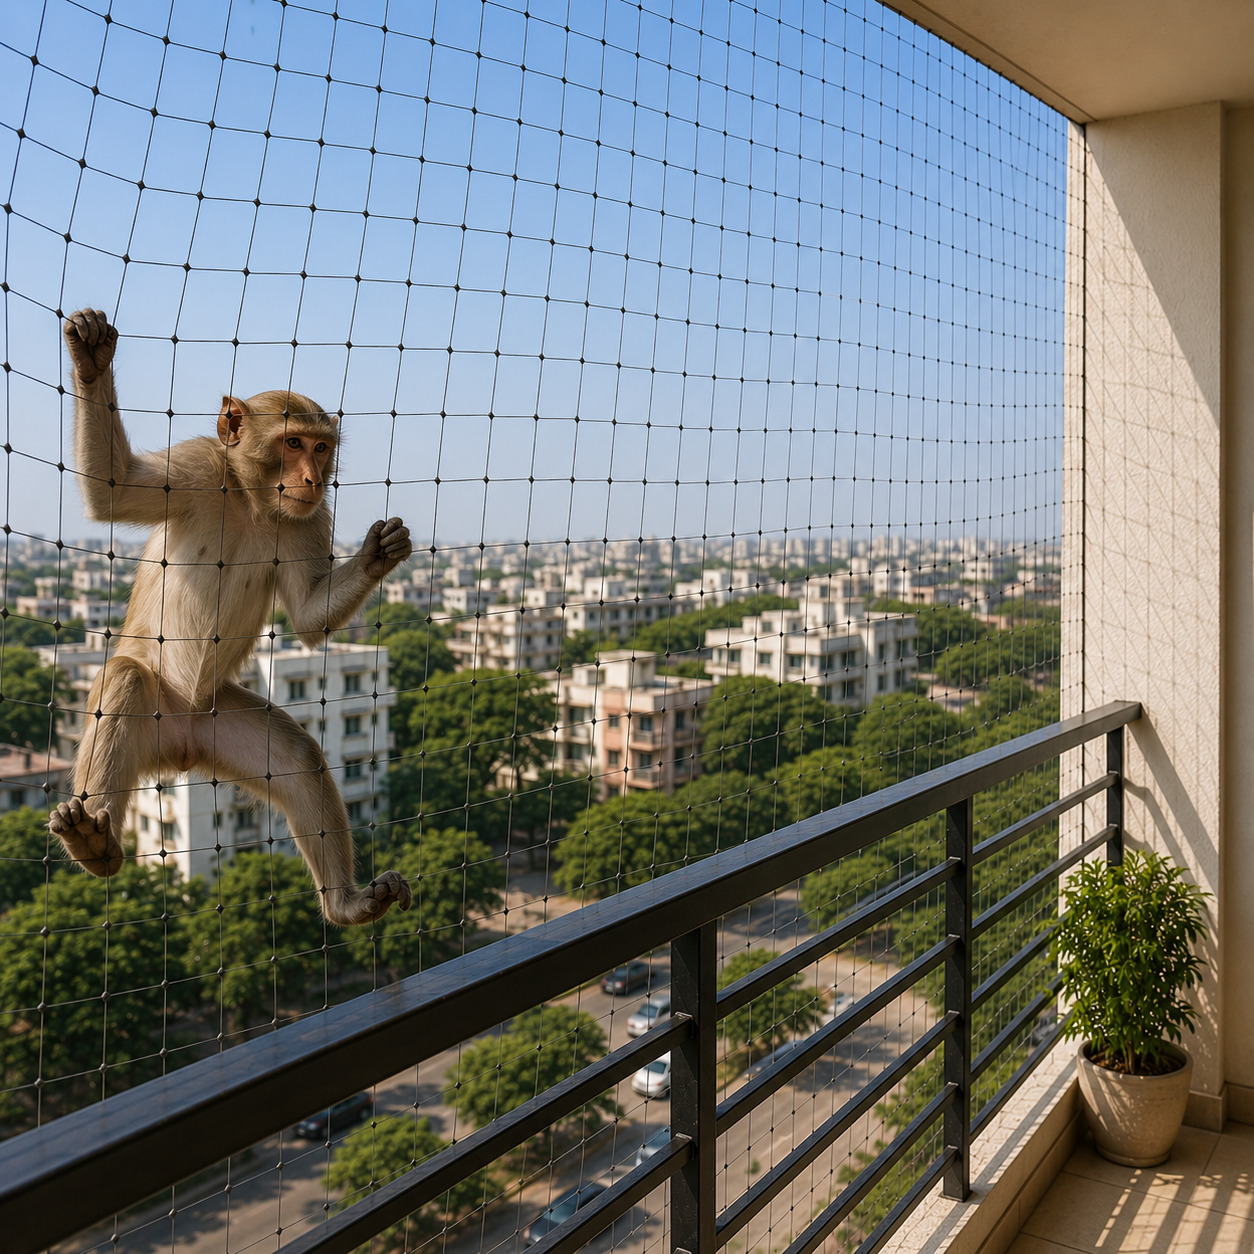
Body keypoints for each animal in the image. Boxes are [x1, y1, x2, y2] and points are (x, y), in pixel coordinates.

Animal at [49, 308, 412, 925]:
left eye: (321, 448)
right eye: (293, 443)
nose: (312, 478)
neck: (250, 500)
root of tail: (180, 744)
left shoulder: (308, 518)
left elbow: (309, 620)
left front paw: (376, 555)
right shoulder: (196, 468)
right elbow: (112, 488)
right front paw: (92, 360)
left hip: (219, 721)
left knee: (298, 759)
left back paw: (346, 903)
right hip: (158, 707)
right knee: (124, 678)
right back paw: (96, 845)